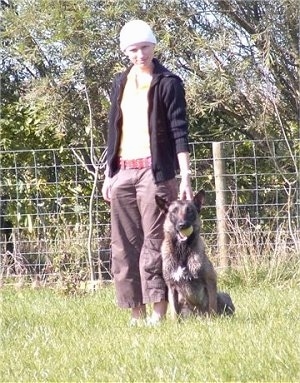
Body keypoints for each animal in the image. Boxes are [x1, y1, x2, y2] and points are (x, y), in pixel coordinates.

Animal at [156, 190, 236, 320]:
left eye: (190, 211)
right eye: (174, 211)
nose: (182, 225)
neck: (182, 251)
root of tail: (199, 317)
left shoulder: (210, 281)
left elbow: (212, 307)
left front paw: (212, 321)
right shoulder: (171, 287)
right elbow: (174, 312)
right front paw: (174, 323)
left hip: (224, 295)